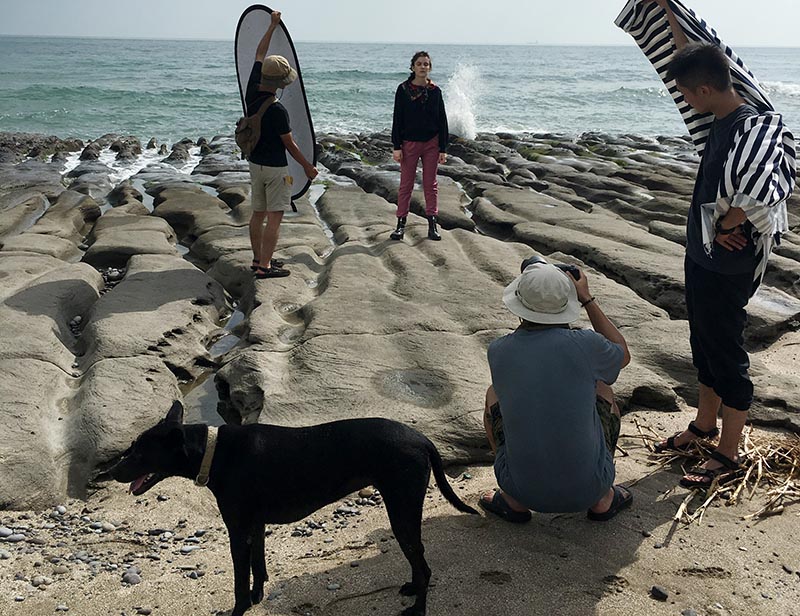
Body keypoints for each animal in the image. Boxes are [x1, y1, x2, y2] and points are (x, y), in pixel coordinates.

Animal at [109, 402, 478, 612]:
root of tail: (422, 439)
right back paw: (412, 589)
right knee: (418, 560)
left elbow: (240, 580)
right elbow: (259, 568)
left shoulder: (237, 531)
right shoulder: (255, 527)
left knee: (423, 564)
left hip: (401, 510)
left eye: (139, 453)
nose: (111, 473)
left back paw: (417, 609)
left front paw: (240, 608)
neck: (216, 452)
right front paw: (258, 597)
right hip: (403, 512)